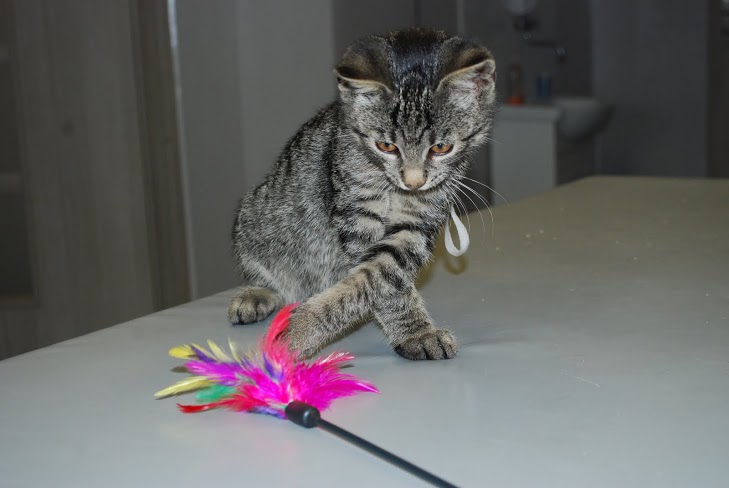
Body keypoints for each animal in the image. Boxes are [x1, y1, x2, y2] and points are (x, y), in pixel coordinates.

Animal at [229, 28, 496, 360]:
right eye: (386, 146)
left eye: (441, 147)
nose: (413, 181)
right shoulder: (357, 216)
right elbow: (378, 282)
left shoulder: (417, 223)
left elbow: (378, 276)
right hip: (256, 213)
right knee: (265, 269)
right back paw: (256, 293)